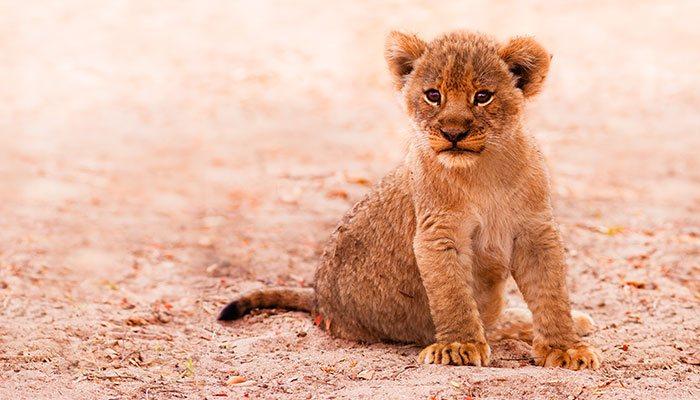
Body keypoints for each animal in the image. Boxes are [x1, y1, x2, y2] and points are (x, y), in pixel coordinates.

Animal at [219, 30, 601, 370]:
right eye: (433, 95)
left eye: (483, 96)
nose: (453, 133)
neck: (483, 172)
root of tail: (317, 298)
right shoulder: (437, 232)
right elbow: (453, 295)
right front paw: (459, 346)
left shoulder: (535, 230)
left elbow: (551, 294)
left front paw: (565, 348)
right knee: (489, 322)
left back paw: (576, 321)